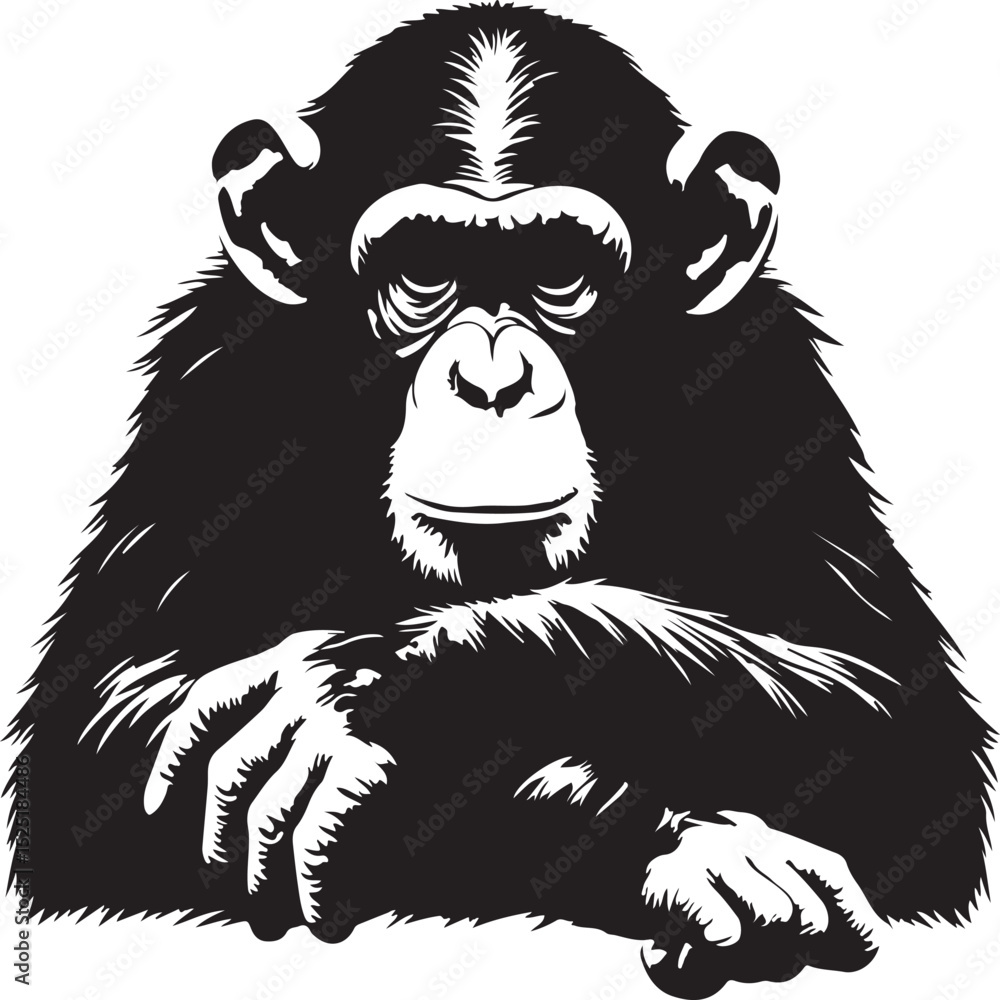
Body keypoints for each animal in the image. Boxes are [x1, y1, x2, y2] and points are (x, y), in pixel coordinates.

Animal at [8, 6, 993, 997]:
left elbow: (896, 725)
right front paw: (691, 861)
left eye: (559, 275)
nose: (491, 381)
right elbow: (90, 739)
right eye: (422, 275)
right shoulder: (211, 376)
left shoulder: (776, 378)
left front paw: (370, 690)